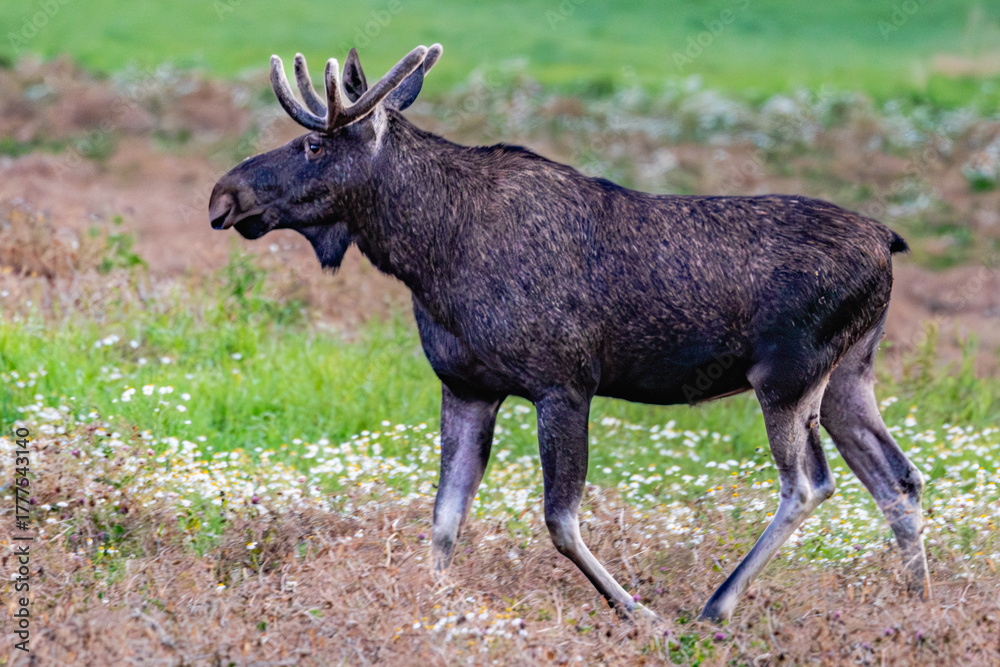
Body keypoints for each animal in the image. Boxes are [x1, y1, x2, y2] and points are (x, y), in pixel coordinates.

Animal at [208, 44, 930, 622]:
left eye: (313, 144)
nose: (223, 195)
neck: (427, 256)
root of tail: (888, 241)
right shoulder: (467, 386)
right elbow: (443, 520)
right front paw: (429, 605)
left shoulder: (563, 382)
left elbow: (559, 520)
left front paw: (638, 612)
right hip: (848, 375)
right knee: (897, 478)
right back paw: (917, 603)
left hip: (787, 375)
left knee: (809, 483)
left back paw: (716, 606)